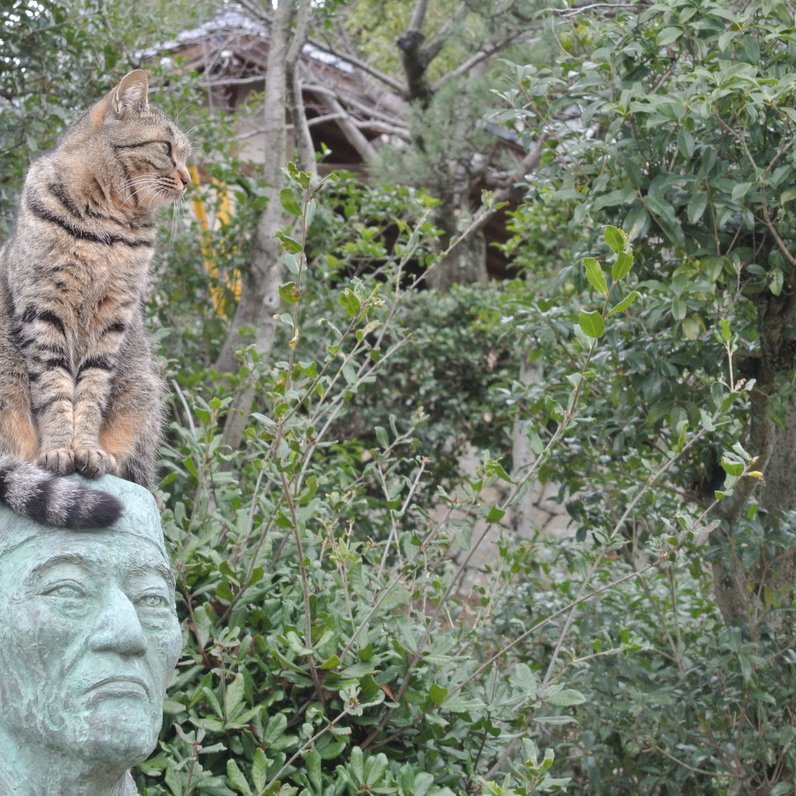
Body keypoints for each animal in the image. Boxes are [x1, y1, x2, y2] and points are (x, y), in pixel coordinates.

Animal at [0, 70, 191, 528]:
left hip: (143, 388)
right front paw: (58, 448)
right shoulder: (43, 309)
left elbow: (89, 392)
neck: (105, 226)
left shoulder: (112, 321)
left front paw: (85, 448)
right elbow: (54, 388)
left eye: (186, 155)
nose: (189, 179)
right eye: (166, 148)